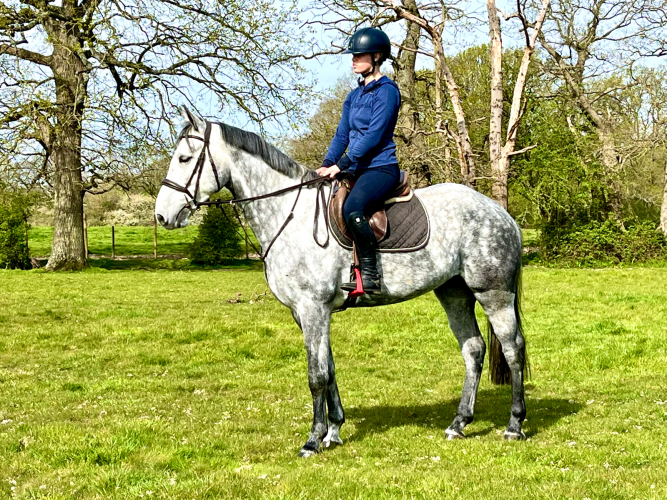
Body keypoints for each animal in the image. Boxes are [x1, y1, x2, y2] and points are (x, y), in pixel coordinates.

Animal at [155, 107, 527, 457]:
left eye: (184, 158)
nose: (162, 215)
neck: (288, 213)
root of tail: (501, 213)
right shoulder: (306, 313)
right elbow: (329, 368)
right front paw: (333, 430)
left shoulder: (312, 308)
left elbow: (316, 375)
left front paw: (313, 439)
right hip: (454, 292)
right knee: (473, 349)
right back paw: (459, 423)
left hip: (493, 293)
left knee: (513, 349)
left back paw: (514, 425)